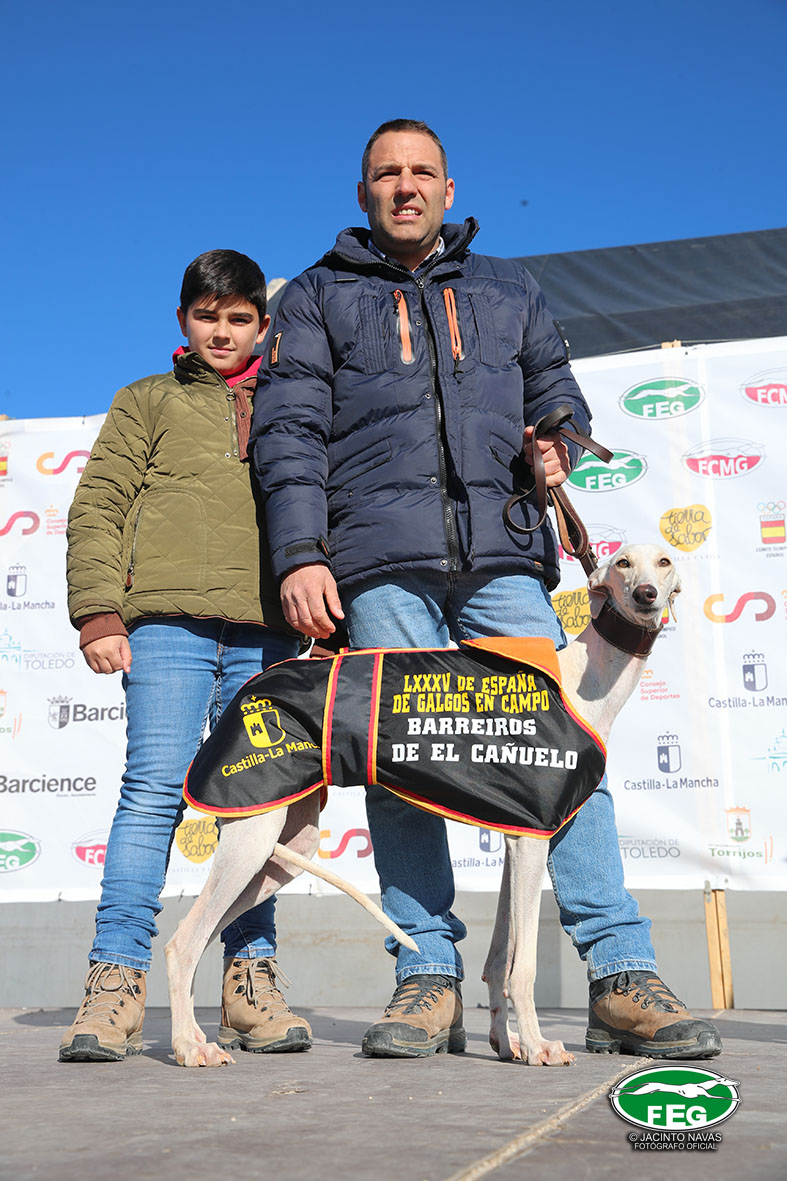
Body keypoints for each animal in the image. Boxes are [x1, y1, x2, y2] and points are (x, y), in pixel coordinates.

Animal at [165, 543, 679, 1068]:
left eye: (664, 563)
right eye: (623, 563)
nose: (646, 595)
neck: (582, 681)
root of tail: (246, 694)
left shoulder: (516, 839)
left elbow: (499, 960)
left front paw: (506, 1043)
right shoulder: (533, 843)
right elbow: (524, 967)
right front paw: (537, 1046)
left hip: (287, 848)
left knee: (198, 938)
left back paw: (199, 1036)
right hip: (252, 832)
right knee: (183, 943)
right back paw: (188, 1047)